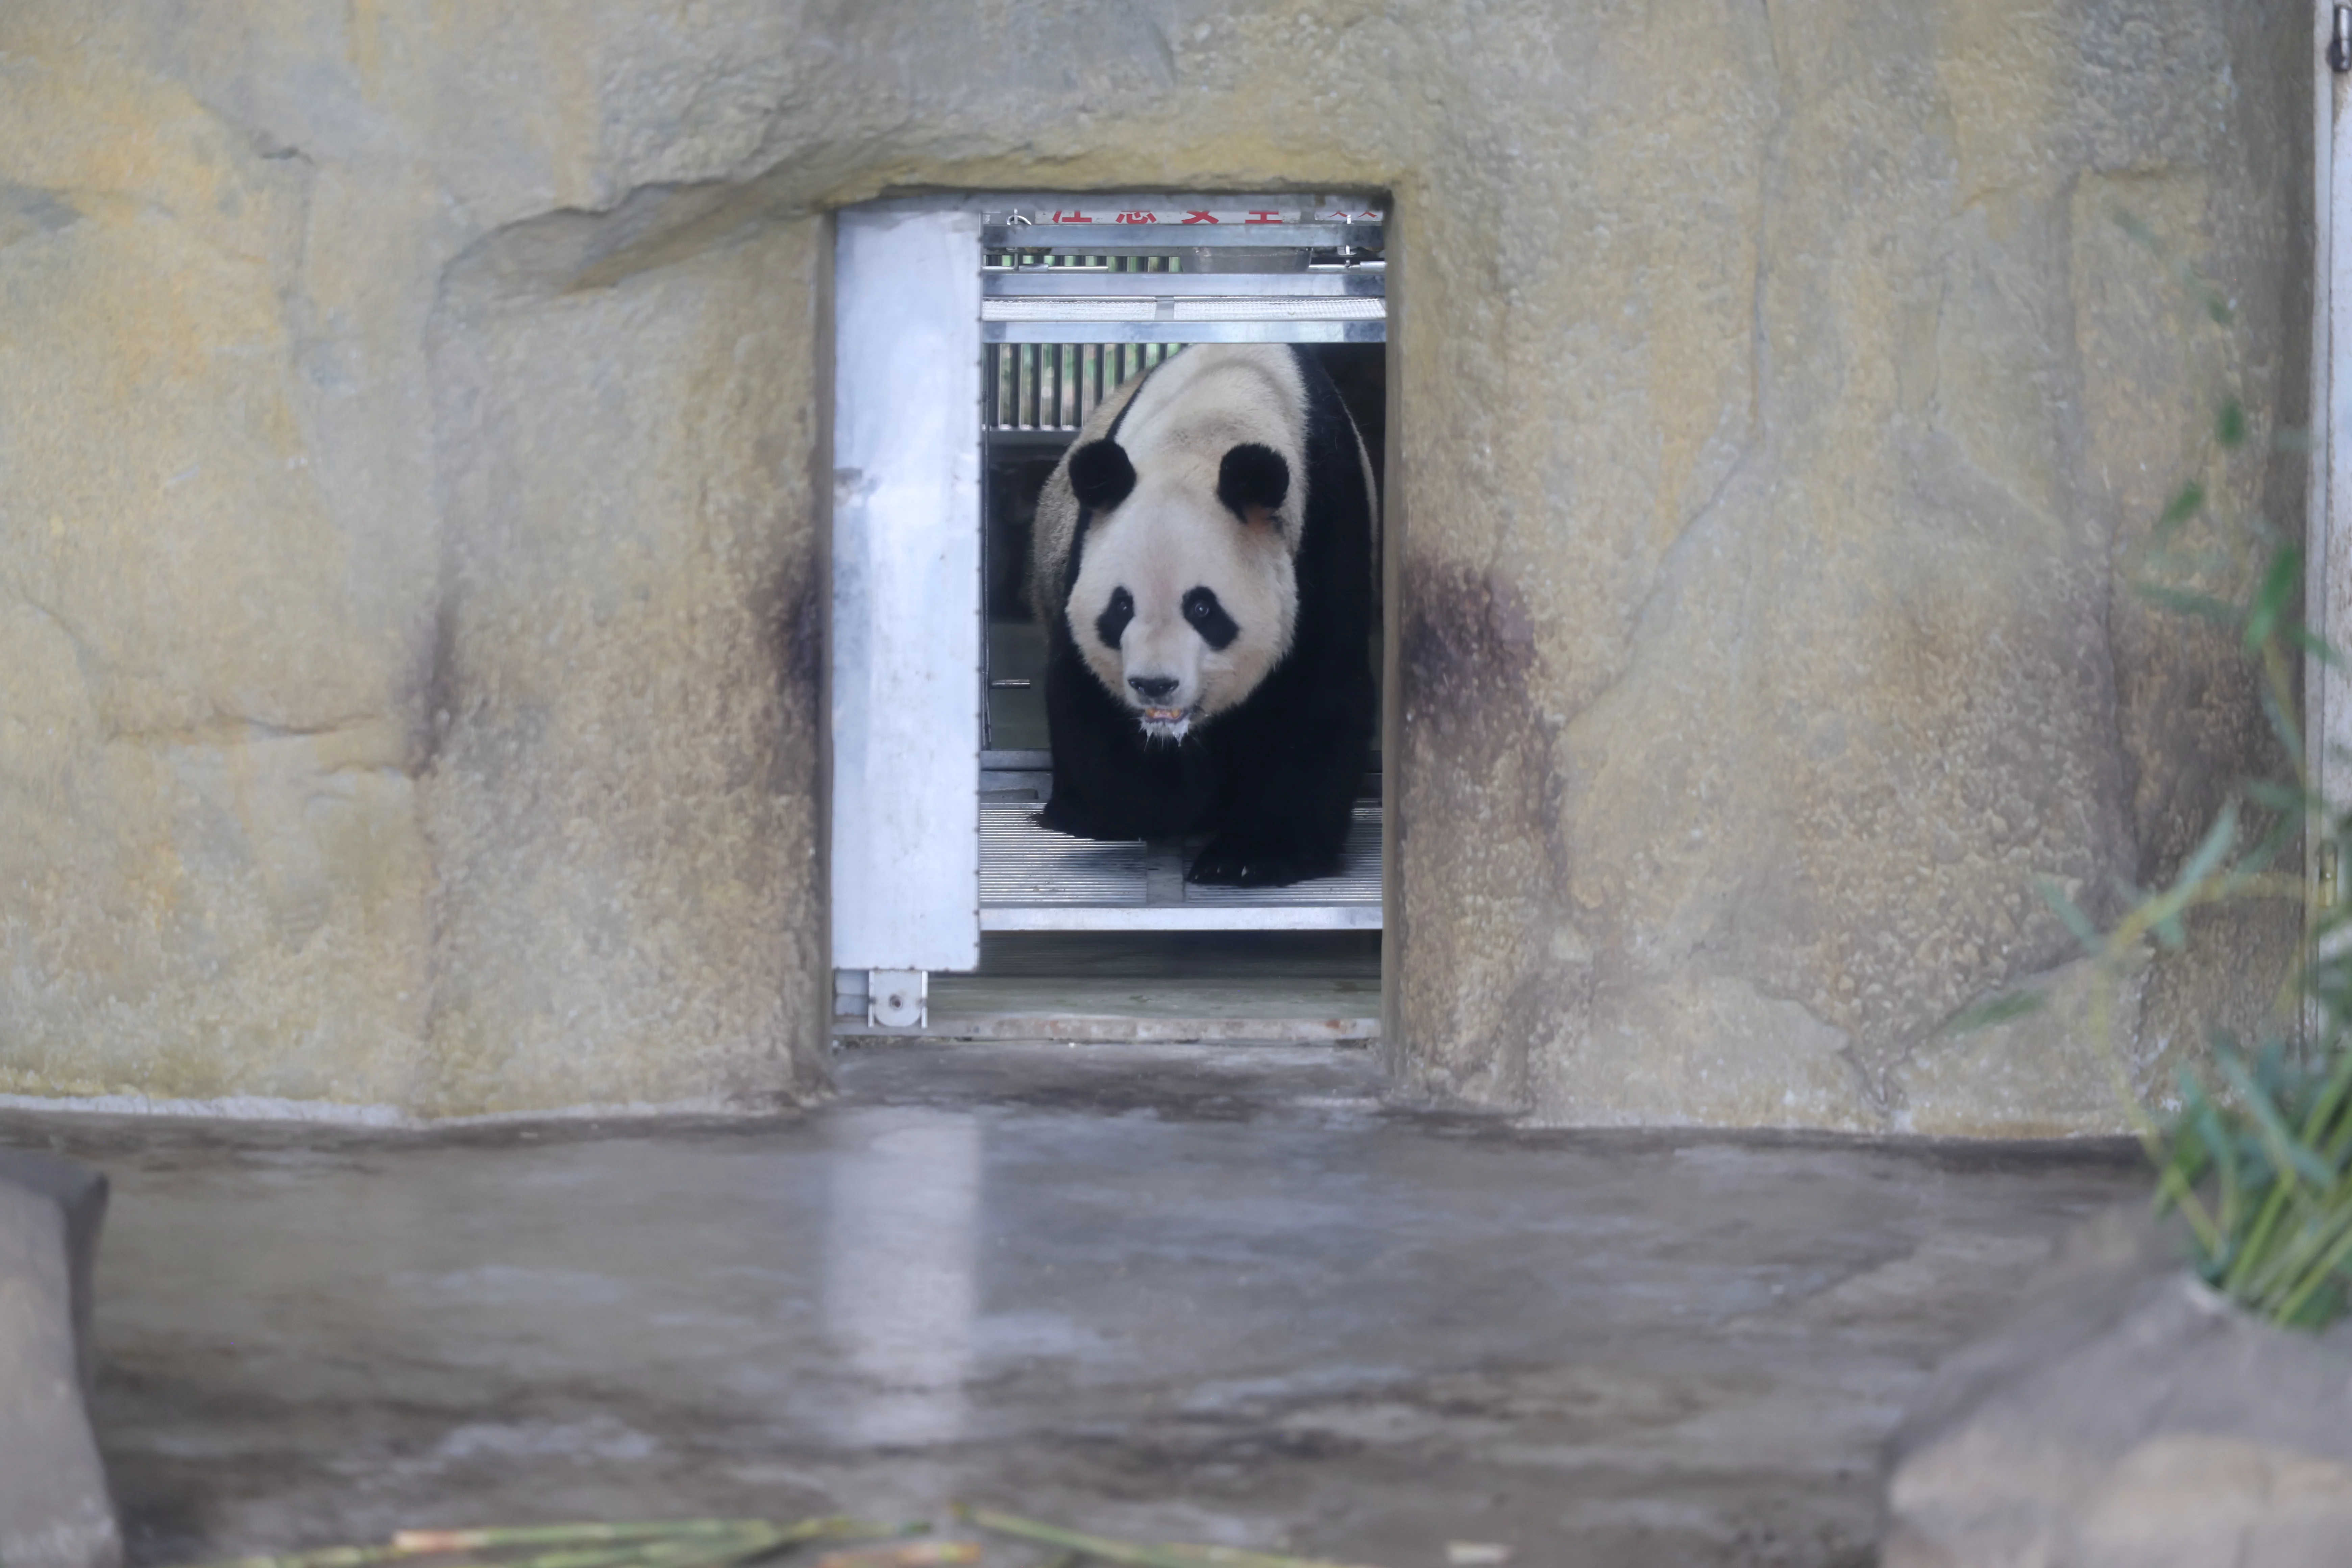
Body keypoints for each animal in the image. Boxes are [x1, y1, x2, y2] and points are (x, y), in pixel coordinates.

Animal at [1029, 342, 1377, 887]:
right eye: (1121, 606)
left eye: (1202, 608)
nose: (1155, 685)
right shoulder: (1087, 545)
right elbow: (1084, 700)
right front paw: (1187, 795)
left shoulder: (1327, 522)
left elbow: (1323, 694)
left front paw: (1249, 855)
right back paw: (1077, 814)